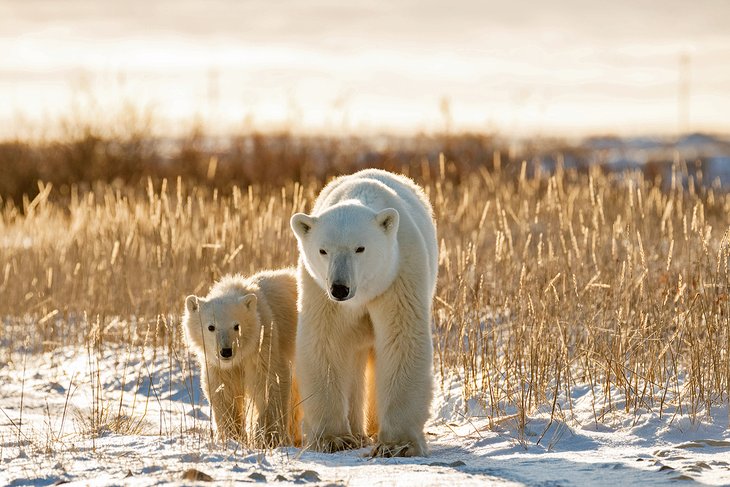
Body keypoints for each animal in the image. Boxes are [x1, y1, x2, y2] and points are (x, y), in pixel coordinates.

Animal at [182, 268, 302, 448]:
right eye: (211, 327)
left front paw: (268, 438)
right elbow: (223, 392)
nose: (226, 351)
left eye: (236, 326)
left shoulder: (263, 346)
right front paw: (232, 436)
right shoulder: (219, 366)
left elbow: (269, 384)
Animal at [290, 169, 438, 458]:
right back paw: (357, 433)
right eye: (323, 250)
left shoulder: (398, 277)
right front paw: (332, 439)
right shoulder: (319, 291)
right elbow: (326, 342)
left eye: (360, 248)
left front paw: (397, 444)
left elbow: (401, 340)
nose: (340, 287)